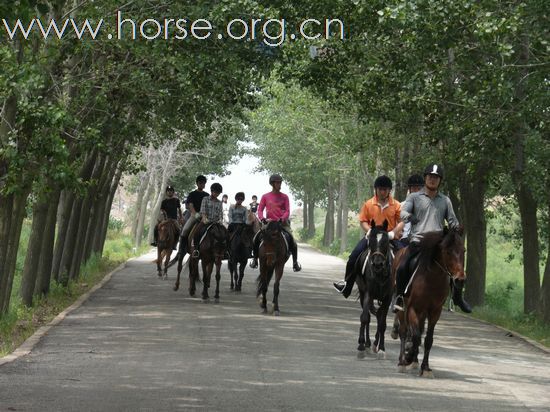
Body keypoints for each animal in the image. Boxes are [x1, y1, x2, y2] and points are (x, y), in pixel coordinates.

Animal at [356, 220, 394, 358]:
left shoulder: (388, 297)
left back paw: (375, 343)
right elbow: (365, 318)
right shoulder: (368, 293)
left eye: (386, 241)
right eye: (371, 241)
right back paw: (366, 343)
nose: (377, 264)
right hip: (363, 294)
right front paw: (361, 345)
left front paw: (381, 348)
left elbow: (382, 323)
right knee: (369, 316)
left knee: (378, 316)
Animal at [394, 227, 468, 378]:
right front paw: (408, 357)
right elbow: (416, 337)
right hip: (403, 308)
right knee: (403, 331)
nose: (460, 280)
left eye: (463, 250)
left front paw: (426, 368)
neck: (432, 278)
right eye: (447, 251)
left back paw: (414, 361)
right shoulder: (413, 309)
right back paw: (402, 361)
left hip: (423, 313)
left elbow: (428, 339)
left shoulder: (435, 311)